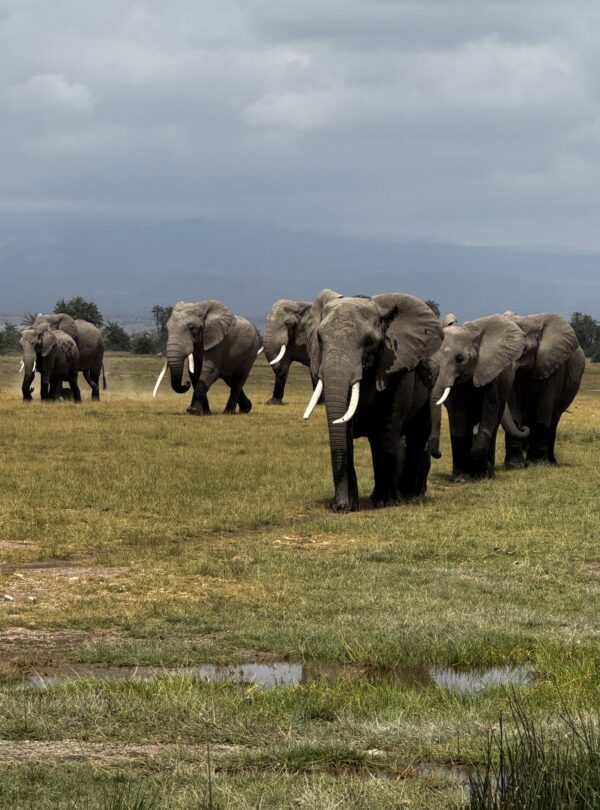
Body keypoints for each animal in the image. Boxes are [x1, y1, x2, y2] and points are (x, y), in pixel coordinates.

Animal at [303, 289, 444, 512]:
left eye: (369, 342)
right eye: (319, 338)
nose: (338, 507)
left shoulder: (395, 370)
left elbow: (385, 432)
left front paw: (385, 502)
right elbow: (345, 431)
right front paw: (350, 505)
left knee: (417, 434)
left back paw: (407, 496)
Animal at [430, 314, 530, 482]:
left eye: (459, 358)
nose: (439, 453)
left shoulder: (490, 371)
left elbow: (489, 410)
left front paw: (482, 470)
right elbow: (457, 416)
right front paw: (460, 479)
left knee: (494, 423)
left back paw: (486, 473)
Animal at [502, 312, 585, 467]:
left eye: (523, 350)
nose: (523, 429)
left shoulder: (555, 365)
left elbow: (545, 405)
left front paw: (539, 464)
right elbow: (513, 403)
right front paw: (515, 465)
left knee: (553, 420)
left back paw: (551, 462)